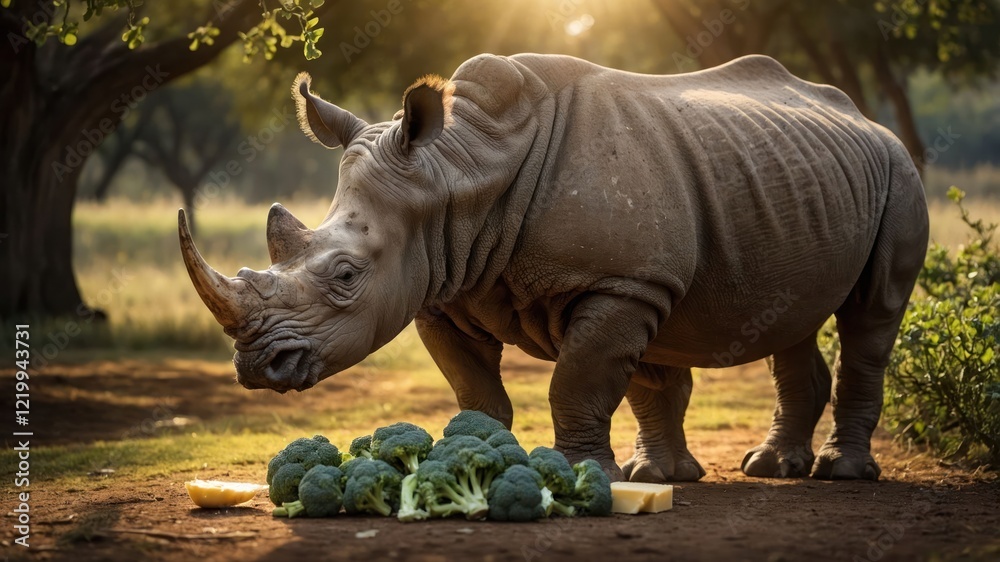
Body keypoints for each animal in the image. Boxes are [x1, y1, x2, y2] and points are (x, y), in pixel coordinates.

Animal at [178, 53, 928, 482]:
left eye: (344, 277)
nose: (258, 365)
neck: (455, 177)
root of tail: (864, 117)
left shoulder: (622, 281)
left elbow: (580, 378)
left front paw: (577, 474)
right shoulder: (440, 289)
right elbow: (477, 388)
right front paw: (483, 457)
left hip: (896, 170)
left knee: (871, 315)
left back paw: (841, 473)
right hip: (787, 181)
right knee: (785, 319)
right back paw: (734, 472)